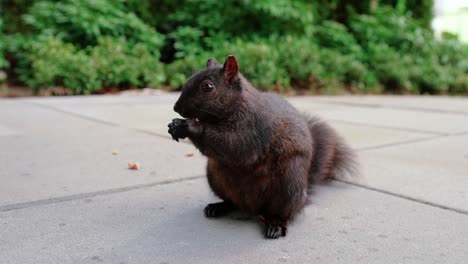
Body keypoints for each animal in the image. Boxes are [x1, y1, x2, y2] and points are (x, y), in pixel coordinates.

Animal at [169, 55, 358, 239]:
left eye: (207, 87)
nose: (176, 107)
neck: (236, 104)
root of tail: (252, 207)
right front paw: (175, 126)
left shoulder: (253, 128)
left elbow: (233, 145)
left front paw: (187, 126)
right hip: (215, 177)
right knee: (231, 202)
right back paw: (218, 207)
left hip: (288, 185)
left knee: (284, 214)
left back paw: (275, 225)